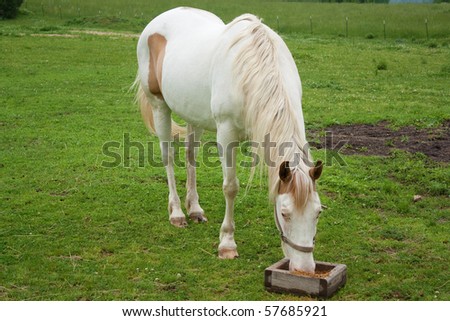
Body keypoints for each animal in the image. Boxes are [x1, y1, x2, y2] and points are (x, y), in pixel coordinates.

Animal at [134, 6, 324, 272]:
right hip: (160, 106)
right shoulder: (226, 135)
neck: (251, 70)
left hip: (194, 115)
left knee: (190, 155)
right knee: (168, 157)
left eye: (318, 213)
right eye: (285, 213)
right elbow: (230, 187)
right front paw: (227, 243)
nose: (304, 268)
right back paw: (177, 213)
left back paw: (194, 209)